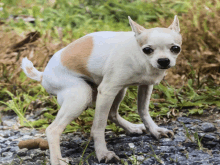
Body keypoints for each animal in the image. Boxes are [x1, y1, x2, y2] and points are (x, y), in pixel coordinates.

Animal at [21, 15, 182, 164]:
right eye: (147, 50)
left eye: (176, 49)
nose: (163, 61)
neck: (139, 56)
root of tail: (43, 75)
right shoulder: (106, 91)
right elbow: (99, 126)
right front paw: (102, 153)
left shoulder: (145, 86)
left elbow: (143, 110)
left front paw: (155, 130)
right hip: (81, 95)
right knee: (53, 130)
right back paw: (57, 160)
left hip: (119, 91)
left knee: (112, 113)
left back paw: (131, 128)